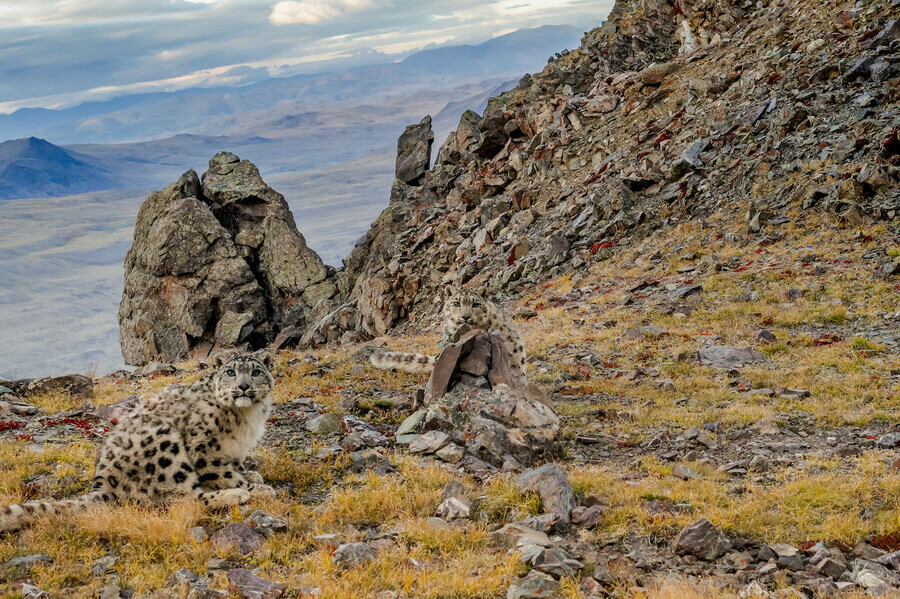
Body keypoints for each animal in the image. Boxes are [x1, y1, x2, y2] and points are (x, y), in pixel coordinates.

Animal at [0, 350, 278, 532]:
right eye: (230, 372)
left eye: (256, 372)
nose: (243, 387)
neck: (247, 416)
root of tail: (101, 485)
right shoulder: (205, 448)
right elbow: (224, 473)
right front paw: (254, 487)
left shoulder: (237, 450)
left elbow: (237, 466)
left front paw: (253, 475)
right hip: (167, 449)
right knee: (185, 498)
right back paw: (236, 495)